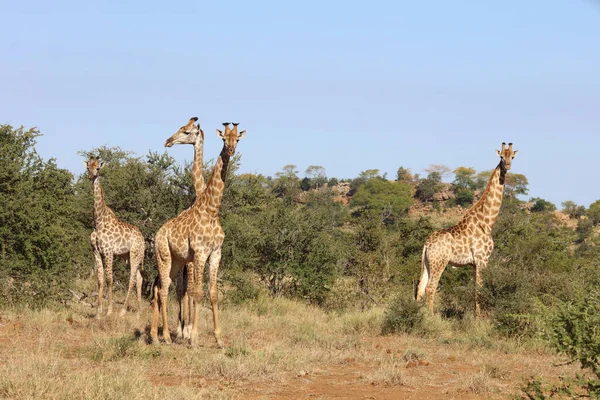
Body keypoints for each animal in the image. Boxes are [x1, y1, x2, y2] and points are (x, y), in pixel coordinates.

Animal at [83, 158, 145, 318]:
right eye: (88, 167)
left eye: (98, 168)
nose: (91, 176)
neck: (98, 222)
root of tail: (144, 240)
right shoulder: (96, 252)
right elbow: (100, 279)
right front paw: (98, 312)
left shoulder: (108, 252)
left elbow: (110, 279)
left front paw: (109, 311)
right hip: (127, 256)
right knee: (139, 278)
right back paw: (139, 312)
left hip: (135, 254)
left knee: (132, 279)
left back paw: (123, 310)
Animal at [150, 120, 246, 346]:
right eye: (223, 139)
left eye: (237, 139)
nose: (168, 141)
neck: (211, 210)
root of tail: (157, 233)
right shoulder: (199, 254)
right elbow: (196, 292)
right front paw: (192, 336)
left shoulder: (216, 253)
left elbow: (212, 293)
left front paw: (218, 339)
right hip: (164, 256)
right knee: (164, 289)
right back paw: (166, 336)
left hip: (176, 262)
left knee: (161, 287)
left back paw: (156, 335)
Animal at [414, 143, 516, 316]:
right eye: (501, 156)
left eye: (512, 157)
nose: (508, 166)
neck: (487, 221)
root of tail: (426, 244)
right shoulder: (482, 259)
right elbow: (480, 290)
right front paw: (479, 319)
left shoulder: (474, 264)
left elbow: (475, 290)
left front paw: (476, 315)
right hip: (439, 262)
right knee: (430, 287)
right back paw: (431, 317)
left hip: (427, 263)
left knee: (420, 287)